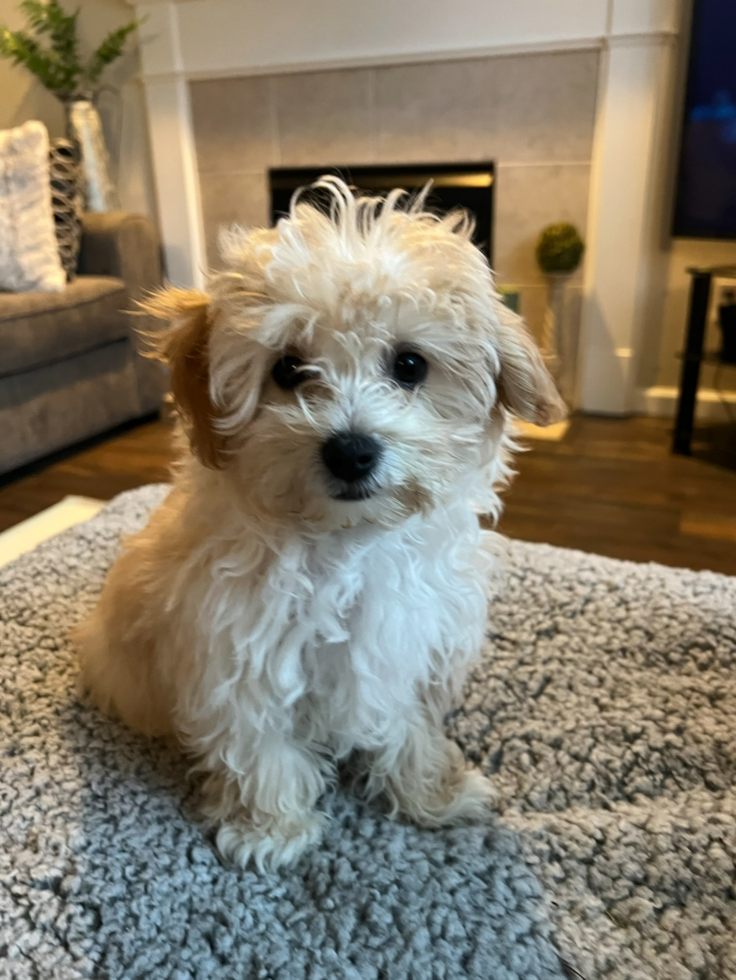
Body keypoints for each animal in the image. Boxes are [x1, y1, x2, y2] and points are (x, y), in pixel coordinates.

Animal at [76, 176, 564, 864]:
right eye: (287, 368)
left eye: (410, 365)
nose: (351, 450)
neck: (347, 544)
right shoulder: (236, 651)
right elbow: (260, 748)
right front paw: (269, 829)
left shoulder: (409, 647)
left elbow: (410, 725)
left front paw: (432, 795)